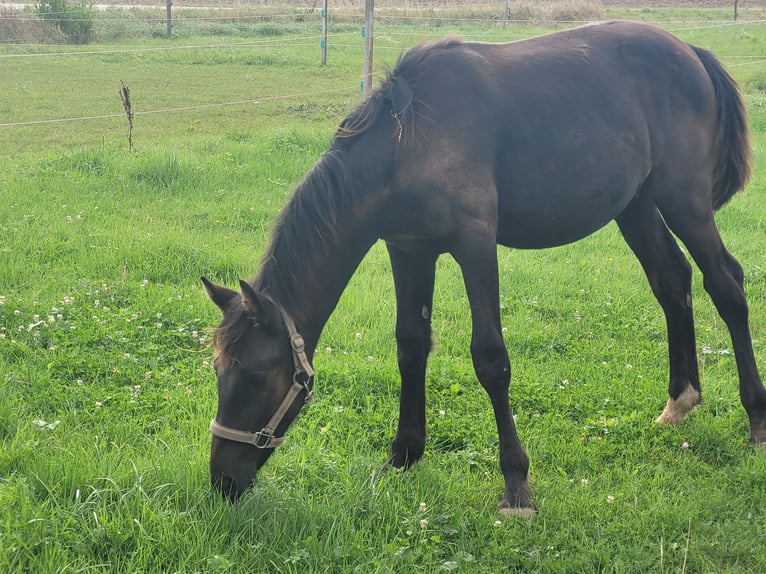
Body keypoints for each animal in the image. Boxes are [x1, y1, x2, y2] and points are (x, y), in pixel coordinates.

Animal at [201, 21, 764, 516]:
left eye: (256, 375)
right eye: (218, 371)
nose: (223, 481)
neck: (408, 141)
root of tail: (691, 52)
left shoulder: (475, 247)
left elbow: (491, 360)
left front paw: (516, 484)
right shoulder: (408, 250)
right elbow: (410, 347)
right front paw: (402, 456)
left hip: (685, 201)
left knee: (726, 284)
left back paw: (756, 418)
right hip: (637, 205)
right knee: (672, 281)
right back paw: (680, 401)